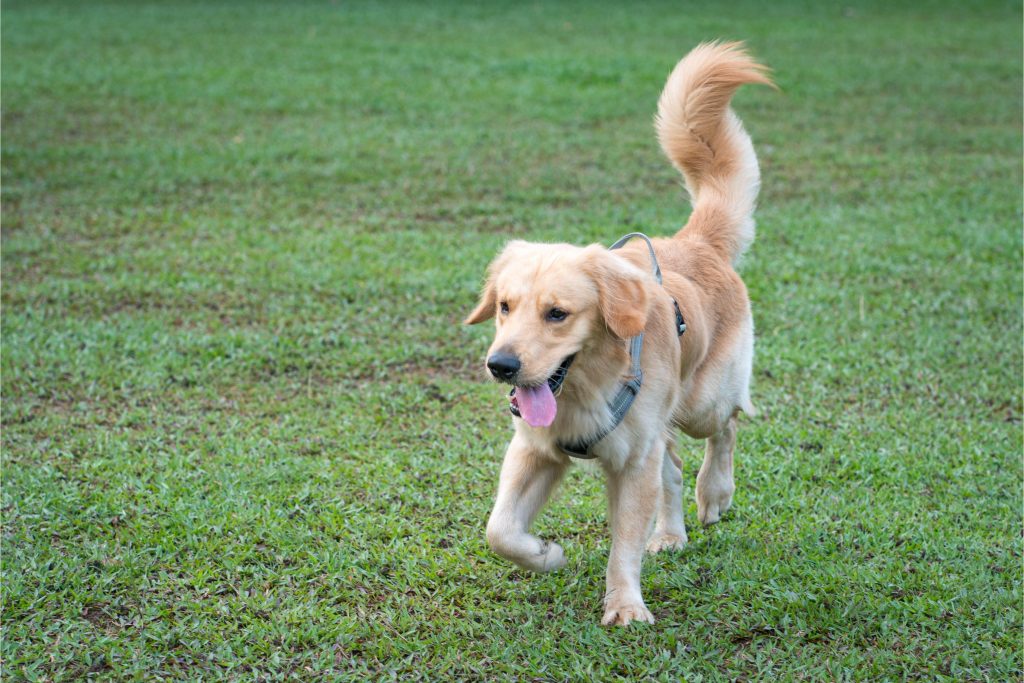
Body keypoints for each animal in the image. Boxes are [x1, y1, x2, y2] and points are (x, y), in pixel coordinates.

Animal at [464, 42, 770, 626]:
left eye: (557, 314)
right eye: (505, 307)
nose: (501, 366)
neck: (586, 386)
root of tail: (696, 241)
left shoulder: (631, 462)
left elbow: (623, 544)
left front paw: (625, 605)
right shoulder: (535, 450)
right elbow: (500, 531)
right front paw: (544, 553)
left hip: (701, 402)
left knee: (726, 428)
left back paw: (715, 493)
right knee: (673, 469)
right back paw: (671, 532)